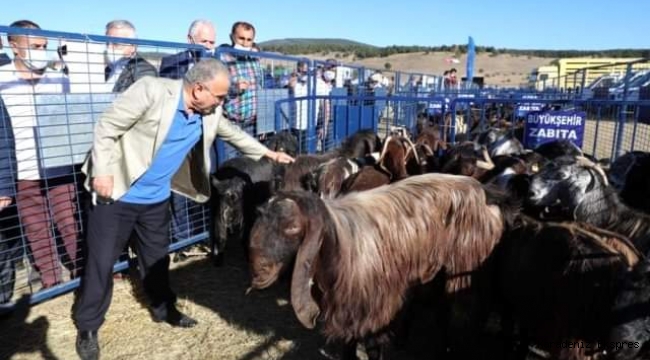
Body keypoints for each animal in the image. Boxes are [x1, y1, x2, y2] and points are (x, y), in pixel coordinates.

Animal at [246, 173, 504, 358]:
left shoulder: (373, 309)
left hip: (463, 270)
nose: (259, 272)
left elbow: (372, 347)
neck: (341, 245)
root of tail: (480, 189)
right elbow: (348, 347)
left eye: (292, 228)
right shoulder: (347, 311)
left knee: (461, 314)